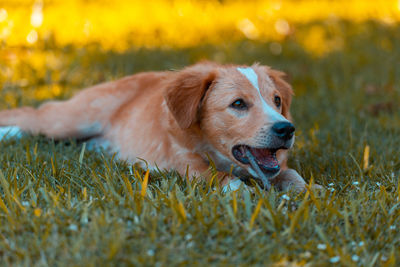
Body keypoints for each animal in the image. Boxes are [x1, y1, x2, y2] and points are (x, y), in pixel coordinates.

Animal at [0, 62, 312, 193]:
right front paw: (248, 195)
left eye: (277, 100)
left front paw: (311, 192)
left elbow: (290, 174)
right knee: (31, 116)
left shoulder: (276, 167)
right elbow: (221, 177)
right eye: (238, 104)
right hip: (70, 120)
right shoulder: (184, 162)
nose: (287, 129)